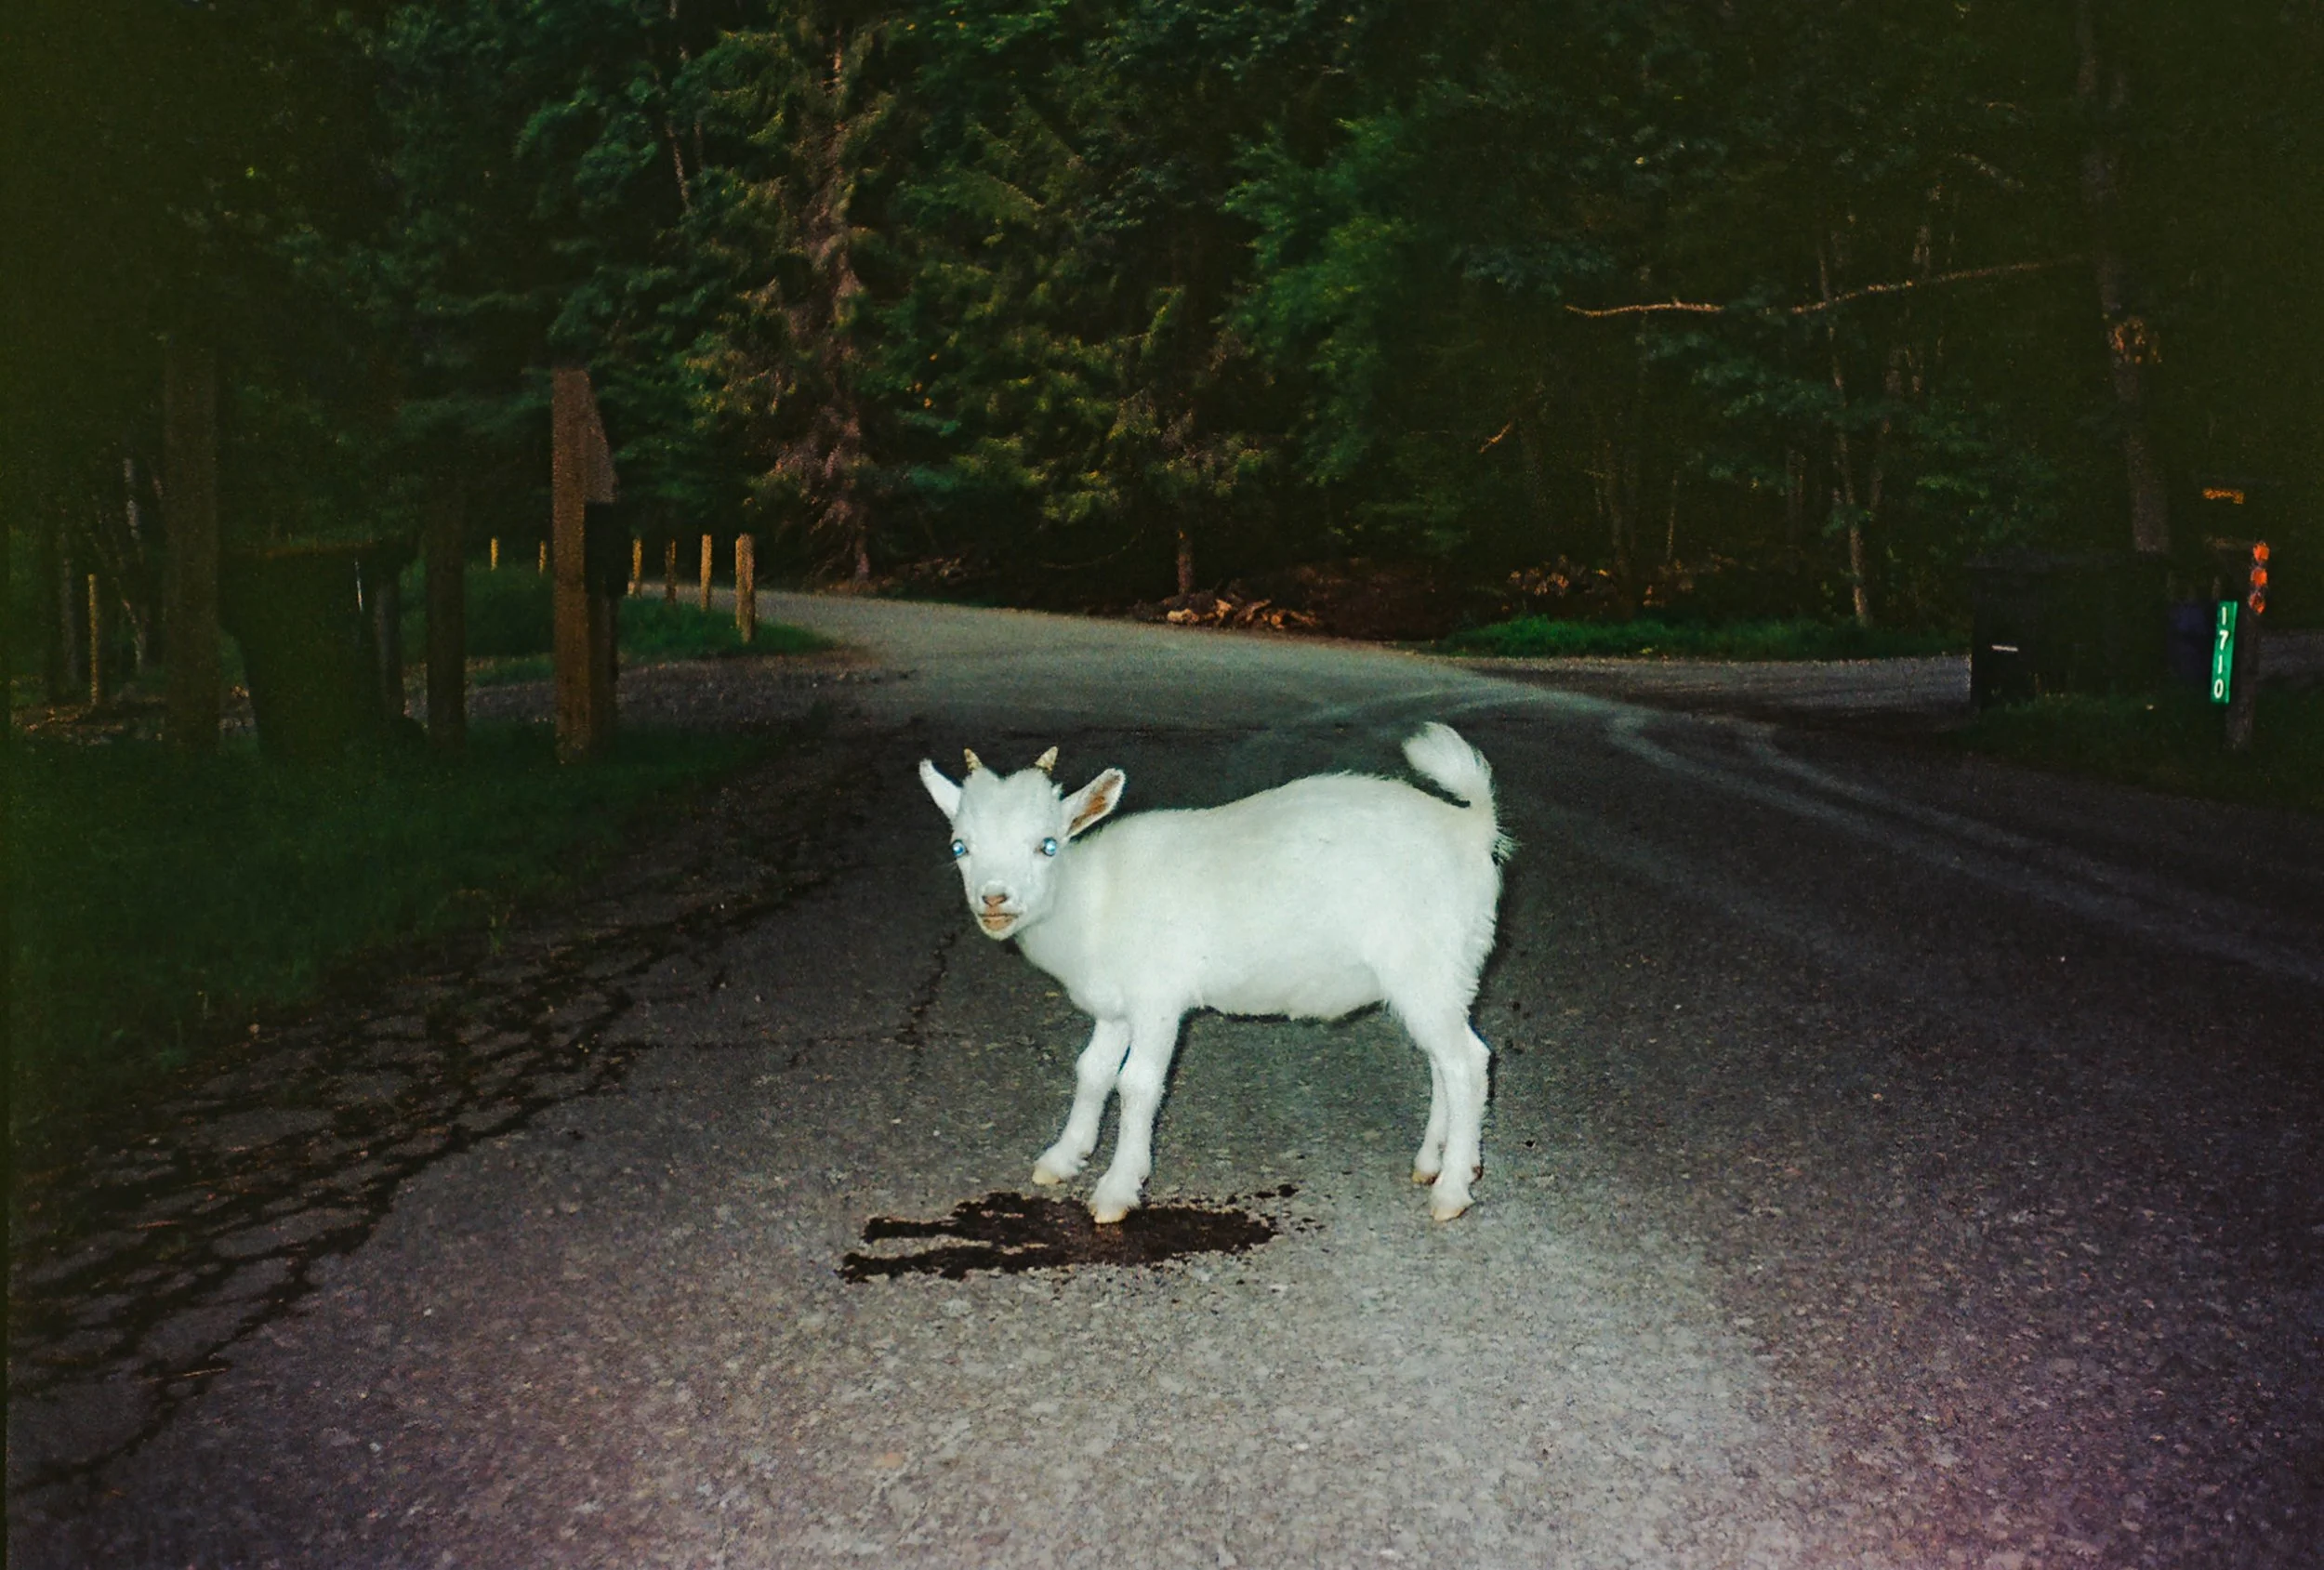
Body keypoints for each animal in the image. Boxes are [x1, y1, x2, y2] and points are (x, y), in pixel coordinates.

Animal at [917, 724, 1509, 1224]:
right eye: (959, 846)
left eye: (1047, 844)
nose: (995, 900)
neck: (1092, 897)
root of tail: (1471, 828)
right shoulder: (1116, 1007)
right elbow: (1092, 1072)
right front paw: (1063, 1158)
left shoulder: (1158, 999)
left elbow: (1138, 1084)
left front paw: (1117, 1189)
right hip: (1439, 975)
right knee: (1444, 1061)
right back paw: (1432, 1161)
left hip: (1427, 965)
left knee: (1468, 1063)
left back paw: (1452, 1189)